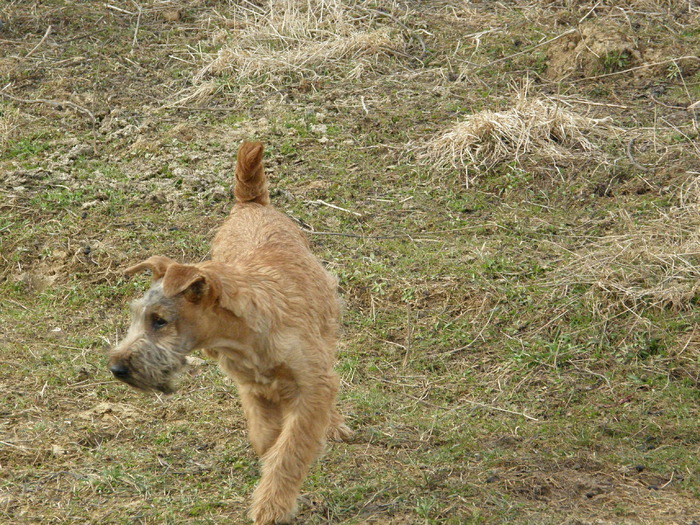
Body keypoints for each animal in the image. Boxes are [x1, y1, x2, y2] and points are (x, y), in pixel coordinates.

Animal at [110, 140, 352, 524]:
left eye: (159, 320)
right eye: (137, 316)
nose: (116, 368)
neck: (244, 335)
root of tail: (250, 204)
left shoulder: (311, 384)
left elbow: (290, 449)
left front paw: (271, 506)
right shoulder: (254, 391)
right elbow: (270, 442)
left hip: (325, 338)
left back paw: (333, 424)